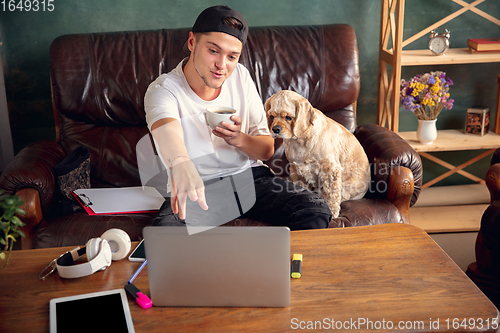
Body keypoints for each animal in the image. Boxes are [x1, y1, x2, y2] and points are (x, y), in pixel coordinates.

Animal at [266, 89, 372, 218]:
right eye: (272, 116)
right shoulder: (296, 169)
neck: (301, 140)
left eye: (288, 117)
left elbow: (331, 194)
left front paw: (332, 212)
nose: (275, 129)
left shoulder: (330, 169)